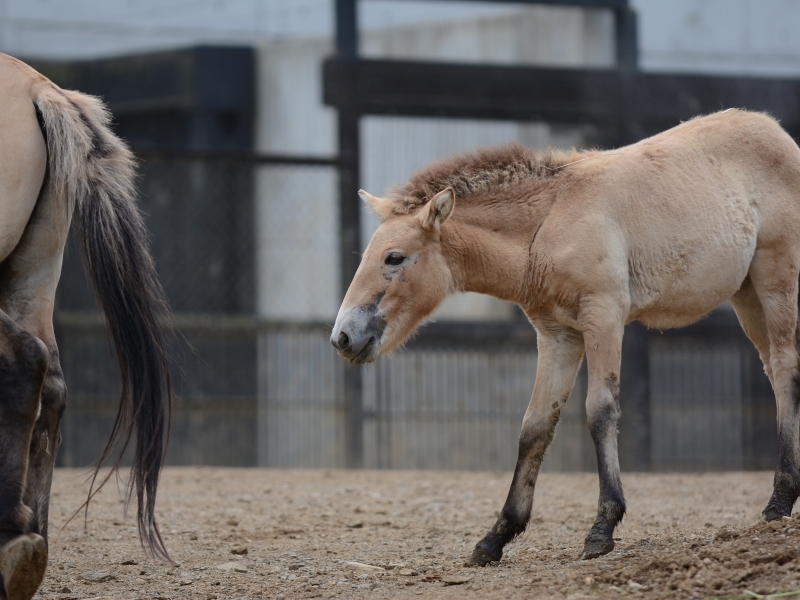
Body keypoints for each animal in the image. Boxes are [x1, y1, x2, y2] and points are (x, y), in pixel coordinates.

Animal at [330, 109, 800, 568]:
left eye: (394, 258)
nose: (343, 337)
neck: (549, 222)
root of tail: (777, 133)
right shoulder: (558, 336)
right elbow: (535, 425)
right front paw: (496, 536)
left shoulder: (604, 318)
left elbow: (600, 412)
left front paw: (602, 528)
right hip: (746, 295)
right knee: (774, 370)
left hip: (775, 283)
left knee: (784, 369)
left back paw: (780, 500)